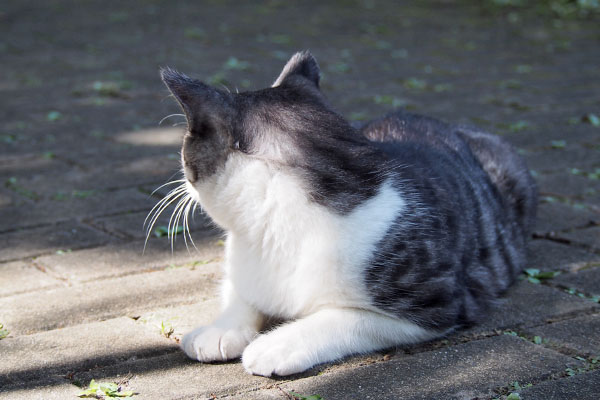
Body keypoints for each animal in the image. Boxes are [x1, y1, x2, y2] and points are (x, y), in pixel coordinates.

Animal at [156, 51, 540, 376]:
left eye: (186, 151)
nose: (181, 180)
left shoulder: (436, 303)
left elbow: (345, 318)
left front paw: (277, 344)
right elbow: (241, 289)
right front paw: (221, 329)